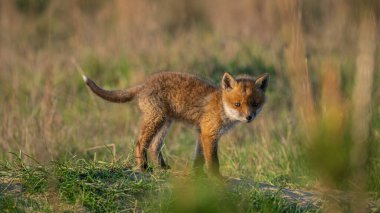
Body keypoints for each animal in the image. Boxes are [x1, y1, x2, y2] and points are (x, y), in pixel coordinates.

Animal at [84, 72, 268, 178]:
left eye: (255, 104)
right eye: (237, 104)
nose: (249, 117)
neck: (222, 107)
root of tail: (144, 84)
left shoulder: (201, 133)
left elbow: (199, 158)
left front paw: (198, 175)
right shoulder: (209, 134)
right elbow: (213, 161)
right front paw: (216, 178)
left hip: (166, 122)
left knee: (154, 147)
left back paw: (163, 167)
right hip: (157, 119)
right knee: (140, 142)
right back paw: (143, 167)